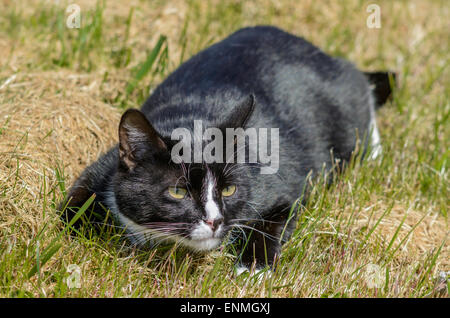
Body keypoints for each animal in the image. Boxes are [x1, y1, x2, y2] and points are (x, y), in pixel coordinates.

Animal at [60, 26, 394, 272]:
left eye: (229, 190)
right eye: (178, 192)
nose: (214, 220)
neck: (192, 120)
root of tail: (323, 55)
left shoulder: (279, 181)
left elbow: (278, 215)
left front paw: (254, 265)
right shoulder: (104, 166)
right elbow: (73, 204)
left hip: (344, 107)